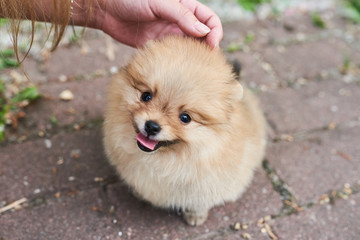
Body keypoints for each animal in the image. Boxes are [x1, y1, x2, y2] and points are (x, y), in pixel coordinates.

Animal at [102, 35, 266, 225]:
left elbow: (200, 202)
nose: (151, 126)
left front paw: (196, 215)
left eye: (185, 118)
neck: (163, 160)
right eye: (146, 96)